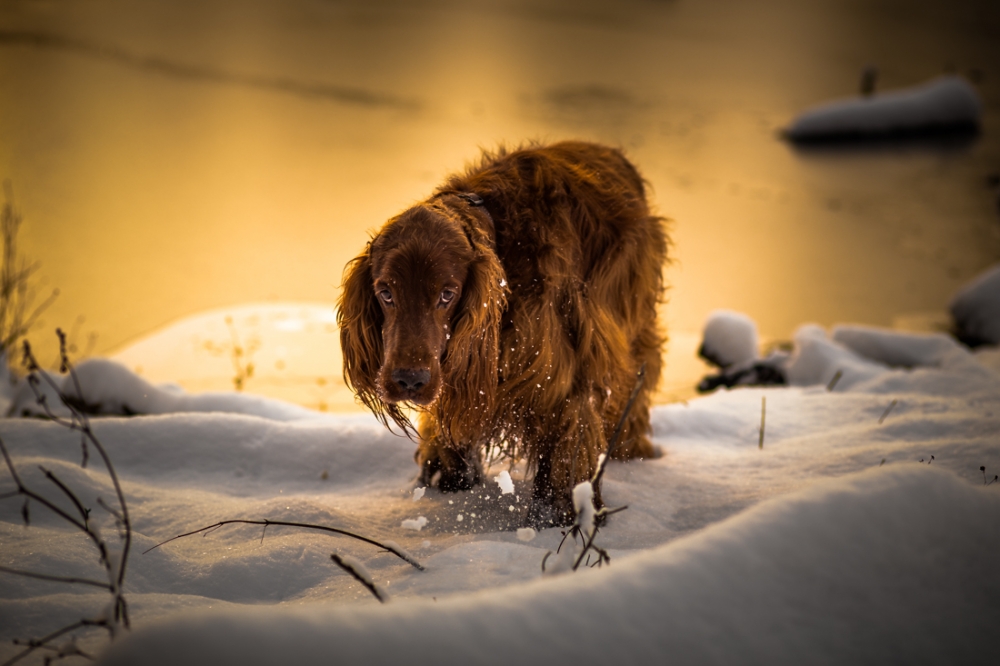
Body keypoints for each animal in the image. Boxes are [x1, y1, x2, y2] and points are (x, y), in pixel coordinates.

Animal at [340, 141, 668, 524]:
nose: (410, 380)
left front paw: (558, 517)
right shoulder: (461, 364)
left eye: (447, 293)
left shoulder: (565, 375)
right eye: (386, 292)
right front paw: (449, 477)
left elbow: (565, 449)